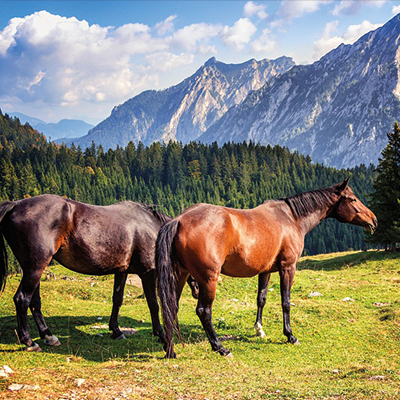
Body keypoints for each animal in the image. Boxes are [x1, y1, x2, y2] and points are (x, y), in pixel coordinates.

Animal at [0, 195, 183, 352]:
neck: (150, 227)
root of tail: (15, 205)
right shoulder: (148, 273)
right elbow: (153, 304)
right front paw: (161, 335)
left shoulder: (121, 271)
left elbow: (117, 300)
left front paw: (116, 331)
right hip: (35, 268)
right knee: (22, 299)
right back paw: (29, 342)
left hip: (34, 269)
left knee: (34, 302)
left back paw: (48, 336)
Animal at [156, 180, 378, 358]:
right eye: (352, 199)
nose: (373, 220)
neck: (291, 218)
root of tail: (179, 219)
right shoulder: (288, 267)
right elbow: (286, 302)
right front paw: (290, 335)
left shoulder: (266, 271)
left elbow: (261, 299)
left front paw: (259, 330)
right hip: (208, 279)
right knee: (204, 311)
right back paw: (220, 348)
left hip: (180, 275)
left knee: (172, 307)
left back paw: (170, 349)